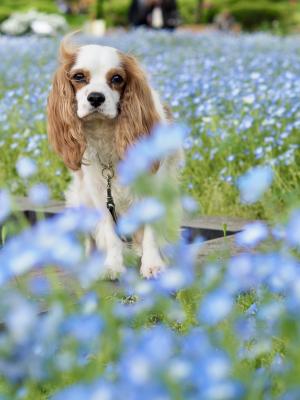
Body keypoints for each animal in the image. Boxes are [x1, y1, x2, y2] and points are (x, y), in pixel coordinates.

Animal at [47, 39, 183, 280]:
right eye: (79, 77)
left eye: (117, 79)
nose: (95, 97)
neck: (107, 132)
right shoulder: (99, 191)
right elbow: (110, 232)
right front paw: (112, 265)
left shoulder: (154, 187)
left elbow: (151, 233)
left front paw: (152, 265)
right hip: (80, 199)